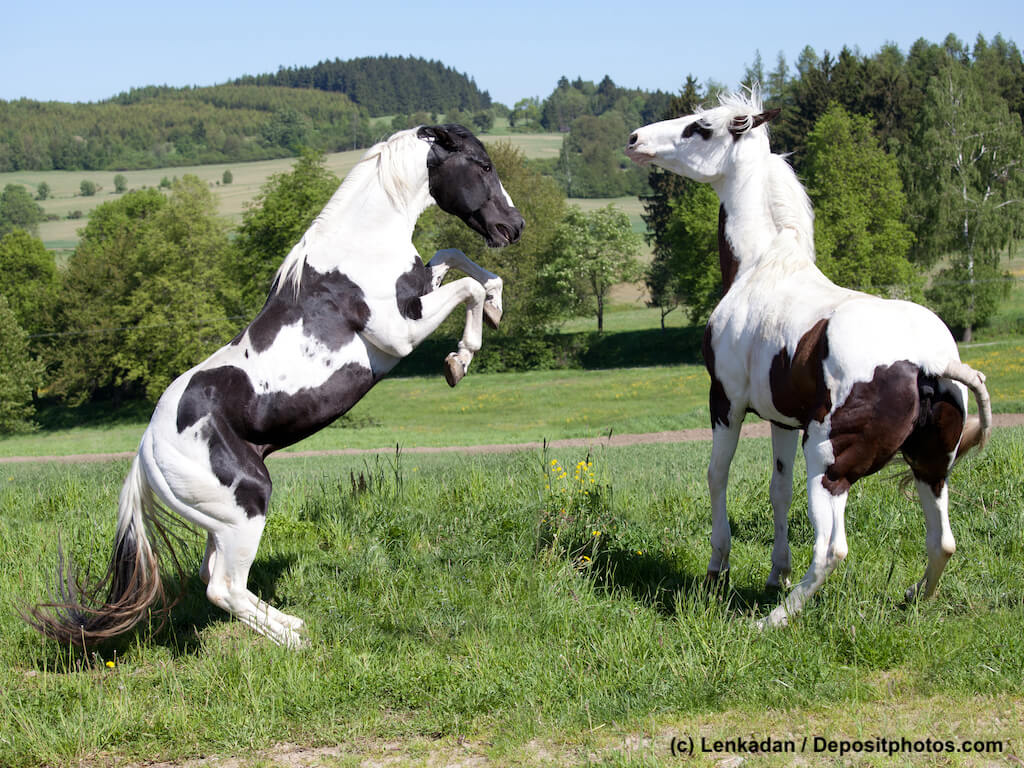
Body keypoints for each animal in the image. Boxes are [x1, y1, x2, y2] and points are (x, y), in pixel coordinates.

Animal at [25, 124, 524, 649]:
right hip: (247, 502)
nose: (514, 226)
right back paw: (297, 642)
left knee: (215, 577)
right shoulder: (399, 333)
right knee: (224, 587)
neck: (356, 249)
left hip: (220, 520)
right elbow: (466, 288)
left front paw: (496, 306)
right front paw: (459, 359)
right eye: (483, 165)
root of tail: (145, 453)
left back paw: (292, 624)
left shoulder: (419, 288)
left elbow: (457, 259)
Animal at [625, 89, 992, 627]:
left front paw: (718, 570)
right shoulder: (781, 420)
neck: (762, 267)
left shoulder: (726, 403)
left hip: (827, 465)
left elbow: (717, 475)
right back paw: (907, 600)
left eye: (702, 127)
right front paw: (775, 573)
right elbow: (778, 491)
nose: (636, 140)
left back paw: (772, 621)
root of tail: (930, 361)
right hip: (930, 465)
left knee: (832, 550)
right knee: (942, 542)